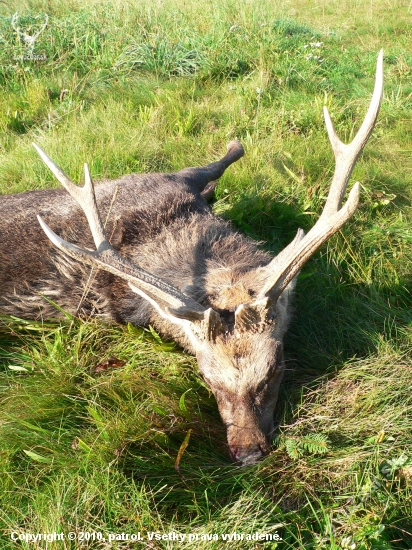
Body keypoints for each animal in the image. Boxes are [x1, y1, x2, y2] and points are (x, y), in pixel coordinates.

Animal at [0, 52, 384, 466]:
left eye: (274, 368)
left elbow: (227, 158)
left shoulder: (179, 179)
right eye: (207, 377)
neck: (174, 221)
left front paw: (233, 145)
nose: (248, 452)